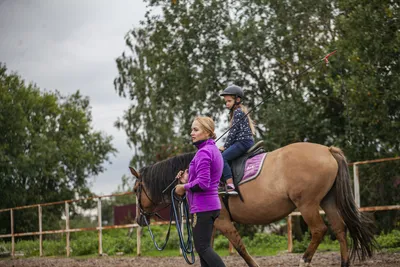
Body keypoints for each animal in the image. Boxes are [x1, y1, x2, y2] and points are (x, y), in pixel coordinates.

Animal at [130, 143, 376, 266]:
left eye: (135, 190)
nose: (139, 219)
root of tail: (326, 150)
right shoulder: (210, 224)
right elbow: (205, 250)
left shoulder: (223, 222)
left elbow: (241, 249)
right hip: (329, 201)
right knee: (340, 229)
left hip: (307, 204)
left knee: (319, 230)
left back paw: (304, 261)